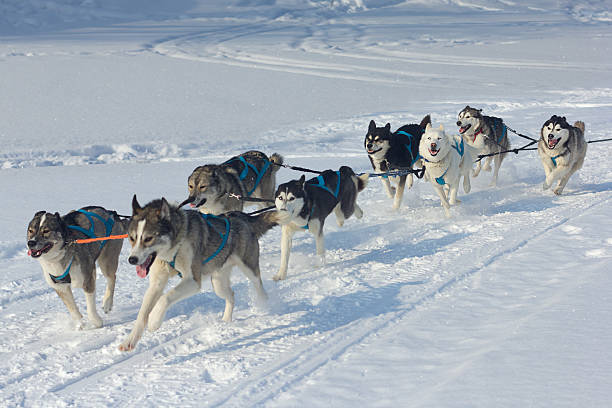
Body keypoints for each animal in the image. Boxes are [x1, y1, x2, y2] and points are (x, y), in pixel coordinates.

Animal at [117, 194, 282, 350]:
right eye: (132, 238)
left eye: (148, 238)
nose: (132, 259)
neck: (174, 247)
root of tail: (243, 217)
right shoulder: (156, 283)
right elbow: (142, 314)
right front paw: (130, 341)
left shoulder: (192, 281)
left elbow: (165, 297)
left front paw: (154, 321)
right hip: (218, 283)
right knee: (231, 295)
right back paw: (226, 320)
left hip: (248, 267)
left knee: (259, 285)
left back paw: (264, 305)